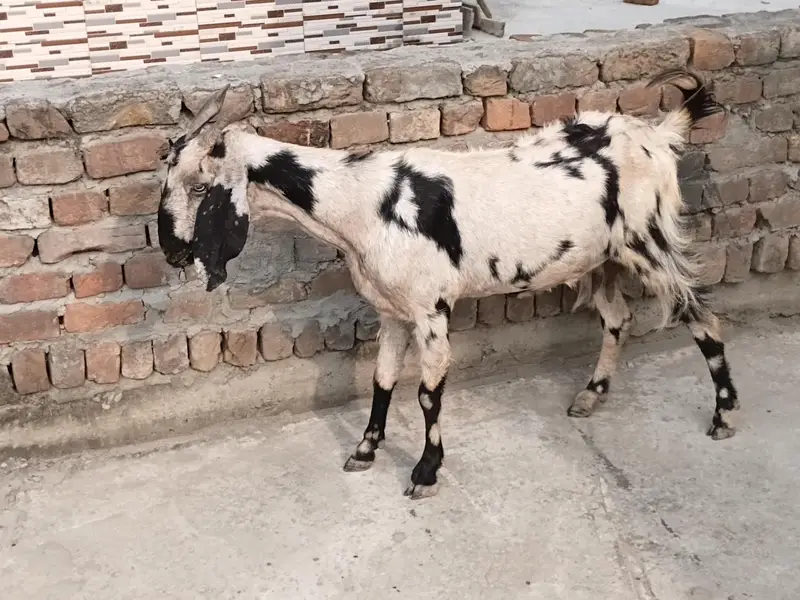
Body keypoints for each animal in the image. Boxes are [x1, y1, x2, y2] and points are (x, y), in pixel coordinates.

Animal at [157, 68, 740, 499]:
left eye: (198, 186)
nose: (172, 251)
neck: (360, 200)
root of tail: (660, 134)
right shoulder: (391, 309)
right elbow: (382, 380)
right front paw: (365, 451)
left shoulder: (431, 308)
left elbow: (427, 392)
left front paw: (425, 471)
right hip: (602, 259)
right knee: (619, 318)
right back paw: (590, 396)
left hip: (650, 242)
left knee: (703, 316)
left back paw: (723, 414)